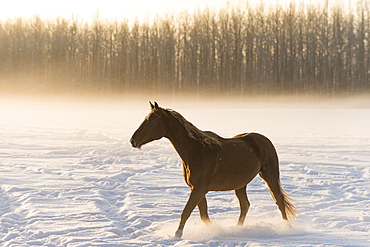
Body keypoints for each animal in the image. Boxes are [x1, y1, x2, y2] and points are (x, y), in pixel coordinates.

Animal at [130, 102, 298, 237]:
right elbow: (203, 215)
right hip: (240, 185)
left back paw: (287, 227)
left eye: (150, 121)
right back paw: (238, 228)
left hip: (270, 176)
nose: (133, 141)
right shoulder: (197, 189)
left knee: (279, 201)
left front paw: (177, 235)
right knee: (245, 205)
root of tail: (264, 140)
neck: (196, 151)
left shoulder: (199, 189)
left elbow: (186, 212)